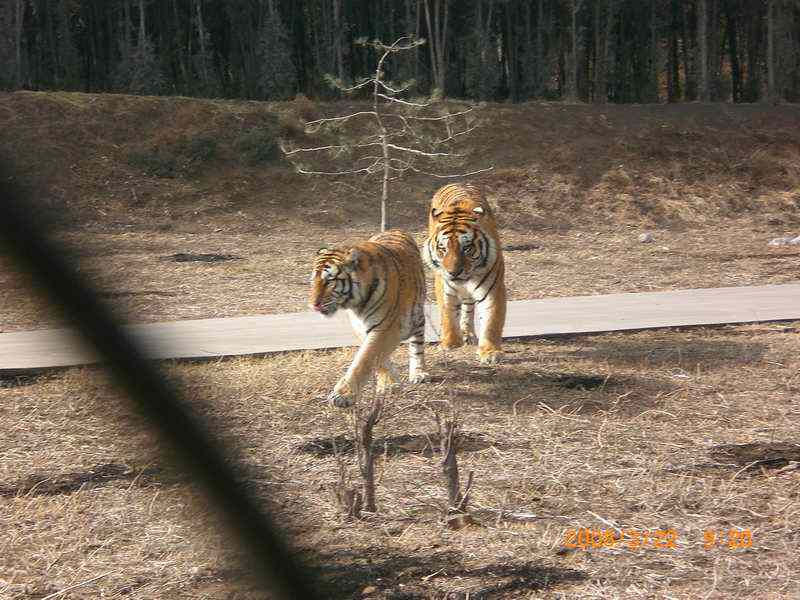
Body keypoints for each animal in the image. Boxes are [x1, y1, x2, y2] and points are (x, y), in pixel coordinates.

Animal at [308, 230, 432, 408]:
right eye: (313, 281)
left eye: (329, 281)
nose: (313, 305)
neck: (356, 304)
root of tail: (395, 230)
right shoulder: (361, 327)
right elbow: (378, 358)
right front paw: (390, 382)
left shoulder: (386, 328)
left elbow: (365, 359)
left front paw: (342, 395)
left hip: (416, 317)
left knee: (417, 345)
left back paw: (419, 373)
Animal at [422, 183, 510, 364]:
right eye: (443, 248)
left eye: (467, 248)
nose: (454, 272)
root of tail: (456, 183)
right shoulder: (443, 285)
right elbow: (448, 313)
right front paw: (450, 343)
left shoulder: (493, 288)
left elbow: (491, 320)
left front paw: (490, 352)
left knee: (468, 308)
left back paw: (468, 334)